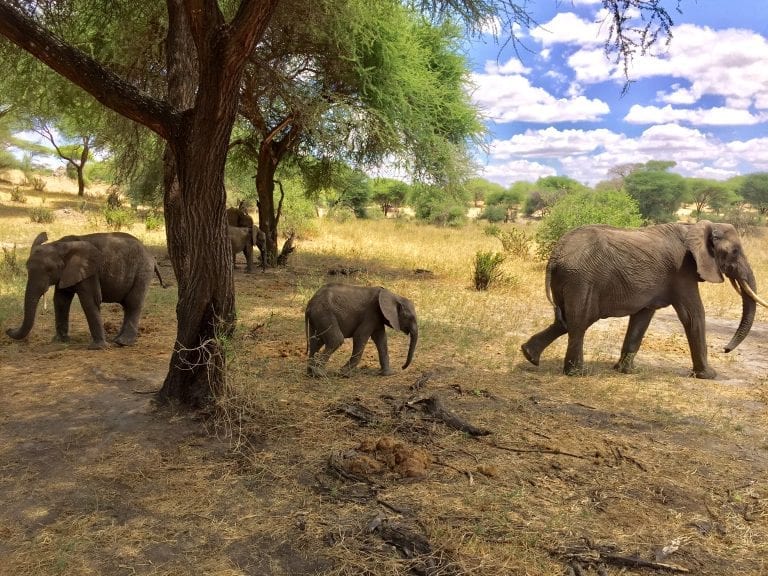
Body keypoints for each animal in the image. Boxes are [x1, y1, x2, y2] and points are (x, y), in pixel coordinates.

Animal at [7, 232, 166, 348]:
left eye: (49, 270)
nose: (8, 329)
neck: (60, 245)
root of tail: (151, 256)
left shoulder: (89, 273)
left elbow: (89, 301)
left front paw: (98, 348)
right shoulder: (66, 273)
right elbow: (60, 301)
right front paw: (59, 341)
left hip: (143, 271)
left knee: (133, 303)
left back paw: (123, 343)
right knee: (128, 305)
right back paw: (118, 340)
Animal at [520, 220, 768, 378]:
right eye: (735, 252)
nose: (725, 350)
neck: (696, 227)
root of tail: (555, 254)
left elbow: (642, 318)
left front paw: (626, 371)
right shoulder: (682, 272)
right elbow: (693, 315)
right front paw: (708, 375)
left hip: (568, 280)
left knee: (563, 321)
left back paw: (529, 356)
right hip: (580, 279)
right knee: (579, 322)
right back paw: (578, 374)